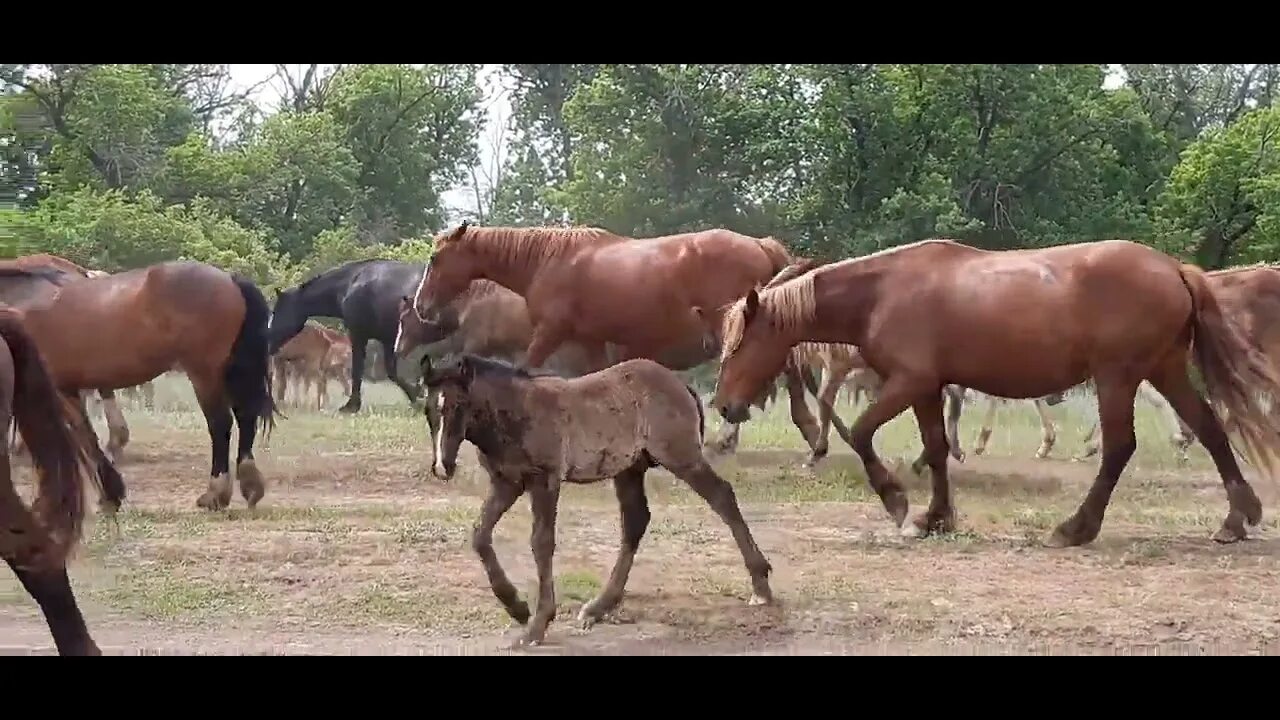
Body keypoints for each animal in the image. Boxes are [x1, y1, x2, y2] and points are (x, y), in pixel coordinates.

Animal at [0, 261, 277, 512]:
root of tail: (229, 278)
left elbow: (79, 438)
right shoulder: (68, 388)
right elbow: (85, 436)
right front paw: (110, 493)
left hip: (204, 374)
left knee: (220, 425)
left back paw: (215, 494)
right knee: (245, 418)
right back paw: (250, 486)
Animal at [269, 259, 426, 413]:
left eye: (278, 310)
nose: (269, 341)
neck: (351, 284)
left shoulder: (359, 335)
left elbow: (357, 371)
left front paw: (351, 405)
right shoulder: (387, 340)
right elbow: (392, 372)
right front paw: (417, 396)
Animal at [410, 222, 839, 458]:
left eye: (434, 258)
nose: (421, 306)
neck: (549, 260)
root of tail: (760, 244)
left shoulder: (549, 333)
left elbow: (526, 369)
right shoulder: (590, 342)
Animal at [425, 354, 774, 647]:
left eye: (458, 406)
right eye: (428, 410)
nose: (443, 467)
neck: (514, 412)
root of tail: (680, 383)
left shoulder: (545, 480)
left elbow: (541, 542)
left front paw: (536, 625)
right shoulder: (506, 483)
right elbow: (480, 535)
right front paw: (517, 608)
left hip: (681, 458)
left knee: (722, 496)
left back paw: (761, 586)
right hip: (630, 470)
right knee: (635, 521)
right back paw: (598, 607)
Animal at [711, 239, 1280, 548]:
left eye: (738, 347)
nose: (723, 405)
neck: (883, 292)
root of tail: (1175, 268)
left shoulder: (907, 382)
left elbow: (864, 432)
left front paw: (896, 500)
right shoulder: (927, 389)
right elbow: (937, 448)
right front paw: (936, 517)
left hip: (1118, 377)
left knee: (1121, 447)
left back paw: (1075, 528)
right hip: (1163, 370)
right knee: (1208, 427)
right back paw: (1236, 519)